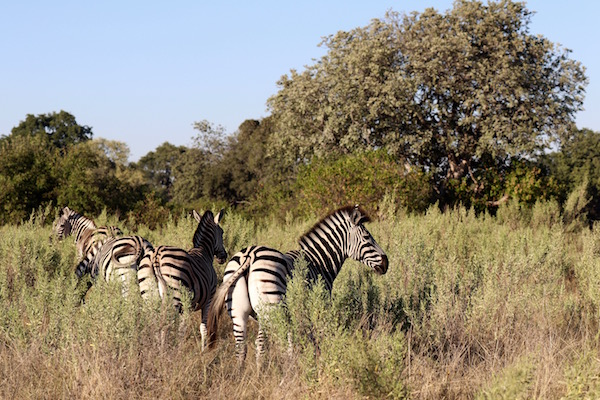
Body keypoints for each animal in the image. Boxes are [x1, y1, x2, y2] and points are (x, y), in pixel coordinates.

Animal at [139, 209, 227, 350]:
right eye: (222, 232)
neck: (203, 250)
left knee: (154, 323)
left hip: (149, 296)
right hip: (174, 296)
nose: (223, 257)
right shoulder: (209, 298)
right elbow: (202, 327)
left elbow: (183, 328)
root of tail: (156, 255)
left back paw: (156, 349)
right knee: (167, 325)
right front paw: (203, 350)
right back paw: (165, 351)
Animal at [206, 205, 388, 364]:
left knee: (241, 348)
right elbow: (314, 337)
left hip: (237, 311)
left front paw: (293, 362)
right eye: (367, 238)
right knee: (260, 344)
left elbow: (291, 341)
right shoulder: (317, 306)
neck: (319, 262)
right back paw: (259, 373)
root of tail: (249, 255)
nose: (386, 263)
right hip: (268, 310)